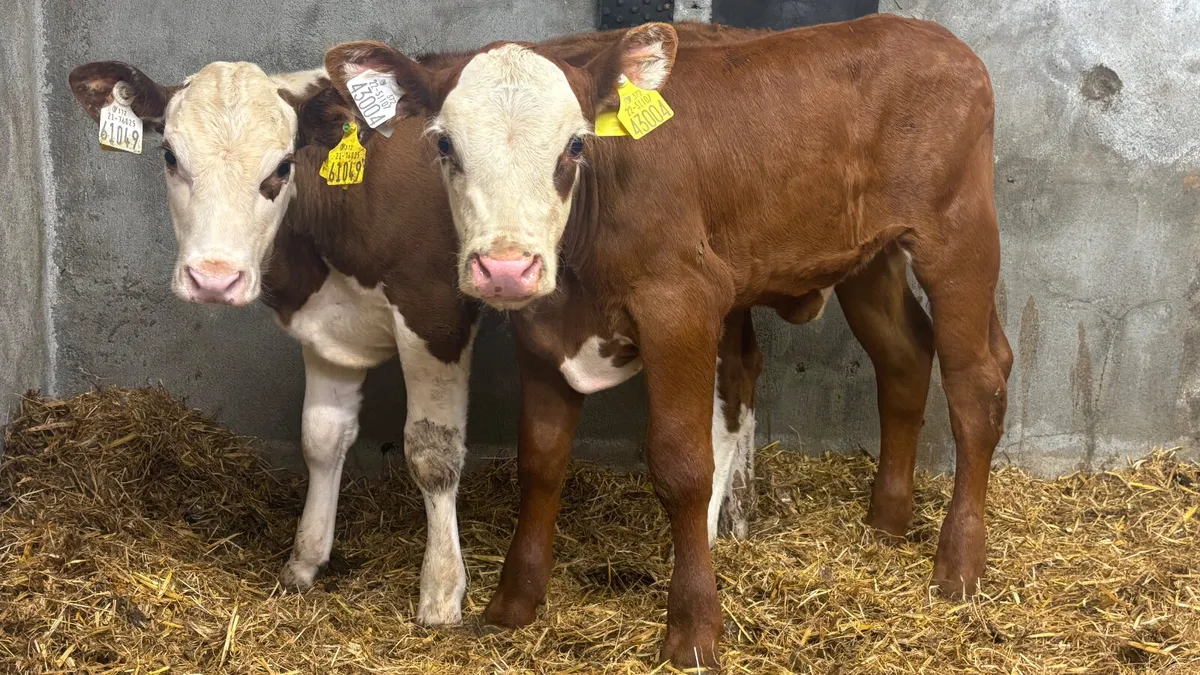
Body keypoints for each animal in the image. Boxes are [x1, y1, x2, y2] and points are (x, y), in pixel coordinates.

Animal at [67, 22, 768, 631]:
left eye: (282, 166)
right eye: (168, 155)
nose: (213, 278)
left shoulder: (433, 314)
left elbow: (431, 454)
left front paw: (441, 594)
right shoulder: (331, 321)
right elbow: (321, 438)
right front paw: (305, 561)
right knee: (739, 387)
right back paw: (736, 518)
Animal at [324, 14, 1012, 669]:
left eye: (576, 144)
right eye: (444, 143)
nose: (506, 268)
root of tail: (935, 37)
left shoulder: (682, 304)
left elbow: (683, 466)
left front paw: (693, 631)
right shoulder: (542, 327)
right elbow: (540, 460)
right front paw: (513, 604)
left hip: (958, 236)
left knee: (975, 383)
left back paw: (958, 566)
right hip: (870, 258)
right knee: (905, 358)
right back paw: (886, 523)